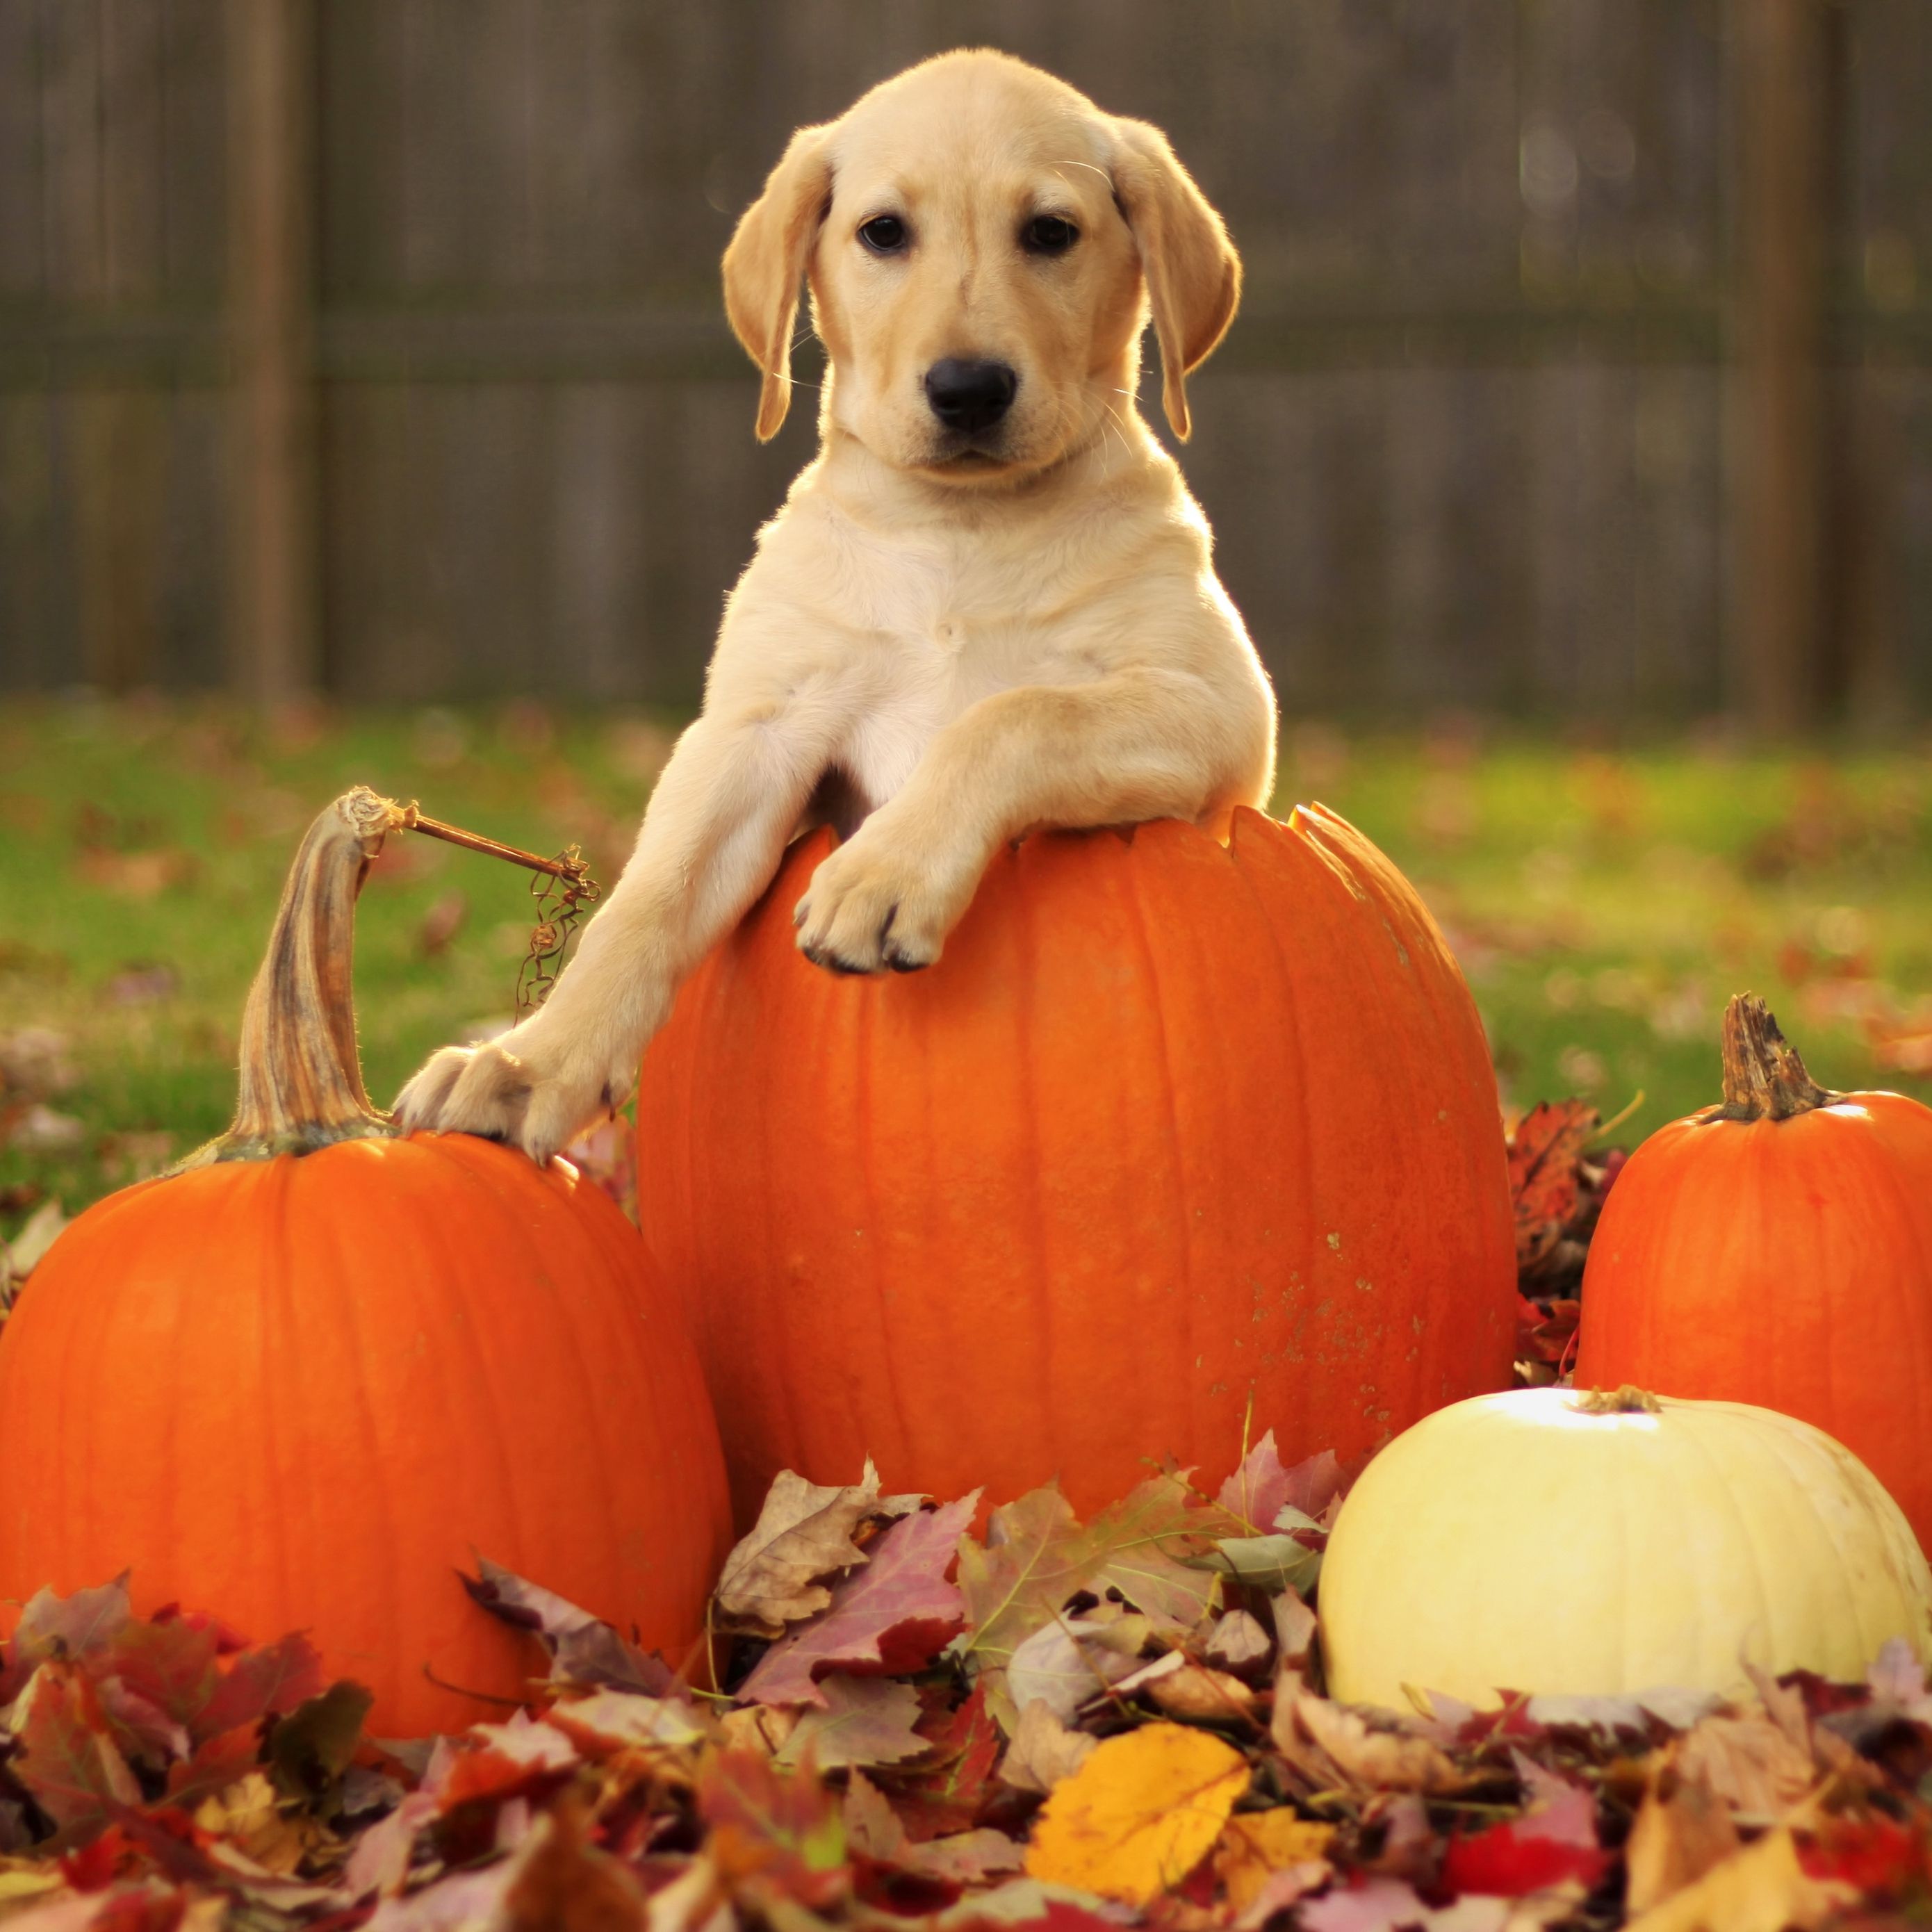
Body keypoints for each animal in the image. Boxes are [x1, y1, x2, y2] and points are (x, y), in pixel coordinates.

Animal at [395, 49, 1267, 1159]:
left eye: (1051, 233)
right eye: (883, 232)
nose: (969, 389)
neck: (959, 532)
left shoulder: (1216, 709)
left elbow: (1014, 713)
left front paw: (880, 875)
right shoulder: (756, 731)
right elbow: (648, 897)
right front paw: (527, 1063)